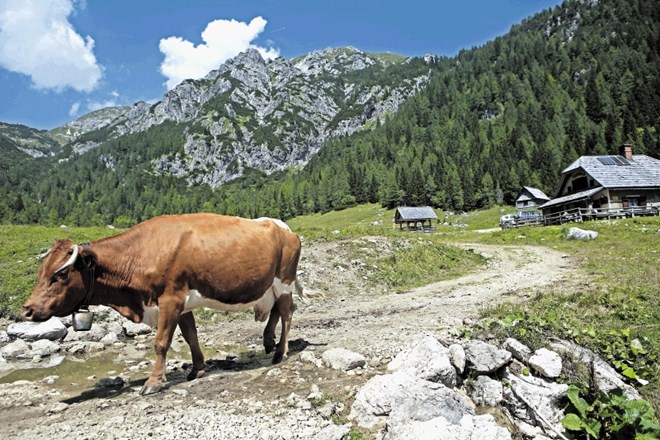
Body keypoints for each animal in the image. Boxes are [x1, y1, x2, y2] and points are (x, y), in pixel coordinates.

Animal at [20, 213, 304, 396]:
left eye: (60, 275)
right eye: (41, 271)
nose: (27, 310)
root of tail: (283, 228)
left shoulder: (171, 299)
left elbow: (160, 343)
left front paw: (154, 382)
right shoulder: (182, 304)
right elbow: (190, 336)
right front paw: (197, 369)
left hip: (284, 282)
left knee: (287, 313)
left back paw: (280, 353)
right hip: (270, 286)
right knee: (276, 311)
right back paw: (269, 343)